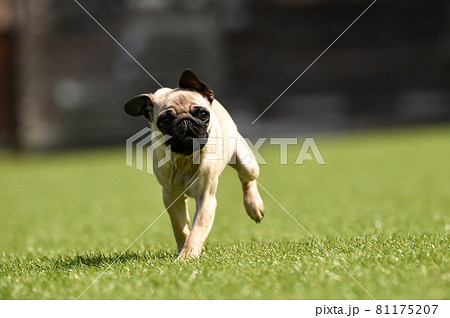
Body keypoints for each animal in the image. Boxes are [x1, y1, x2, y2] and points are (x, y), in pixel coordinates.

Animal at [123, 69, 264, 258]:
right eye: (165, 122)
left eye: (203, 115)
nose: (186, 122)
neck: (184, 158)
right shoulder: (171, 197)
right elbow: (180, 228)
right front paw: (184, 248)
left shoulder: (206, 199)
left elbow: (198, 229)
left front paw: (188, 254)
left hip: (247, 164)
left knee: (247, 178)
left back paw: (254, 206)